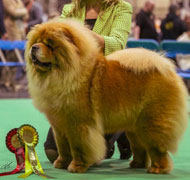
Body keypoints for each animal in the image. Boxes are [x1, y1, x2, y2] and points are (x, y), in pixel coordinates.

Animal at [25, 19, 189, 174]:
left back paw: (157, 169)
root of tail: (166, 69)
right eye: (36, 42)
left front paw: (76, 167)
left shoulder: (78, 124)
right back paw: (137, 164)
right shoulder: (59, 125)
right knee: (140, 148)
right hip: (135, 127)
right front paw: (61, 163)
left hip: (152, 122)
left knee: (158, 148)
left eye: (49, 45)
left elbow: (78, 147)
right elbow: (63, 147)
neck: (63, 75)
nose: (34, 47)